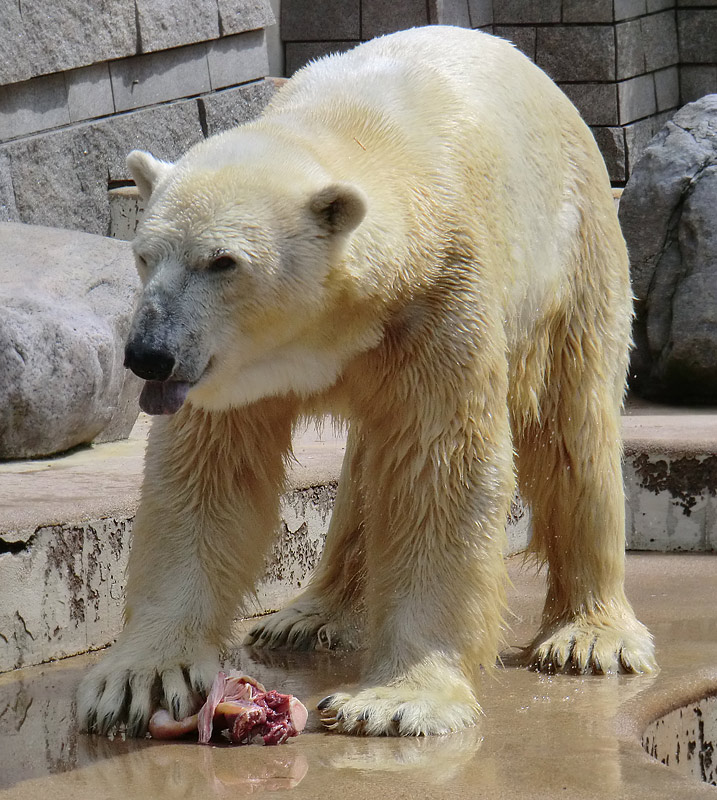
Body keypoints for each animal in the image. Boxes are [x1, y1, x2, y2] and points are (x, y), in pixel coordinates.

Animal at [77, 25, 656, 736]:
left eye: (223, 261)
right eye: (143, 255)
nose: (148, 355)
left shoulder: (441, 299)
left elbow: (442, 469)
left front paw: (395, 700)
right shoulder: (231, 376)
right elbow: (206, 475)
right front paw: (143, 678)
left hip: (577, 261)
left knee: (574, 428)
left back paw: (590, 636)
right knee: (366, 469)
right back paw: (308, 615)